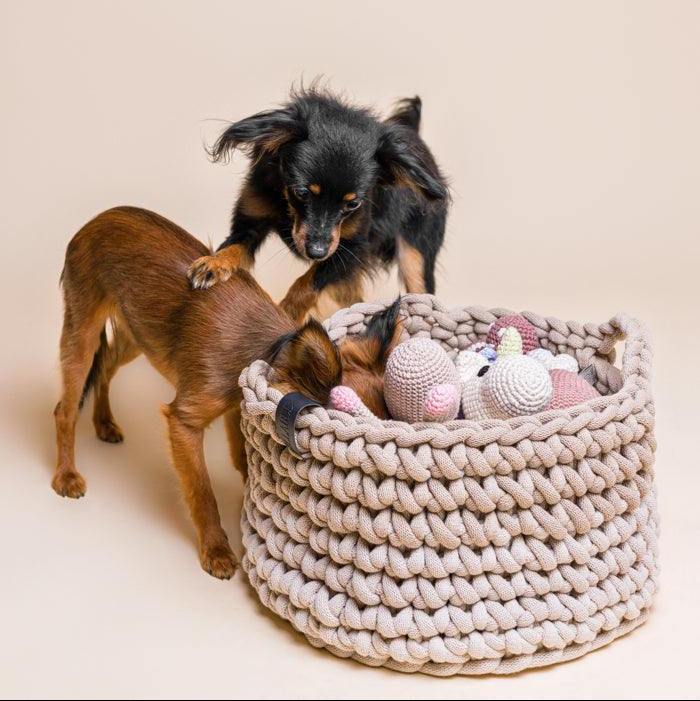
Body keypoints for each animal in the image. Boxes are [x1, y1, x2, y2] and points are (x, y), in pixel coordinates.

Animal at [187, 88, 448, 320]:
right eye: (302, 192)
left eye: (353, 204)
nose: (317, 252)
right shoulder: (250, 224)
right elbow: (233, 246)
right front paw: (214, 263)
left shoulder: (350, 250)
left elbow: (308, 283)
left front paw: (287, 313)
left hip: (415, 260)